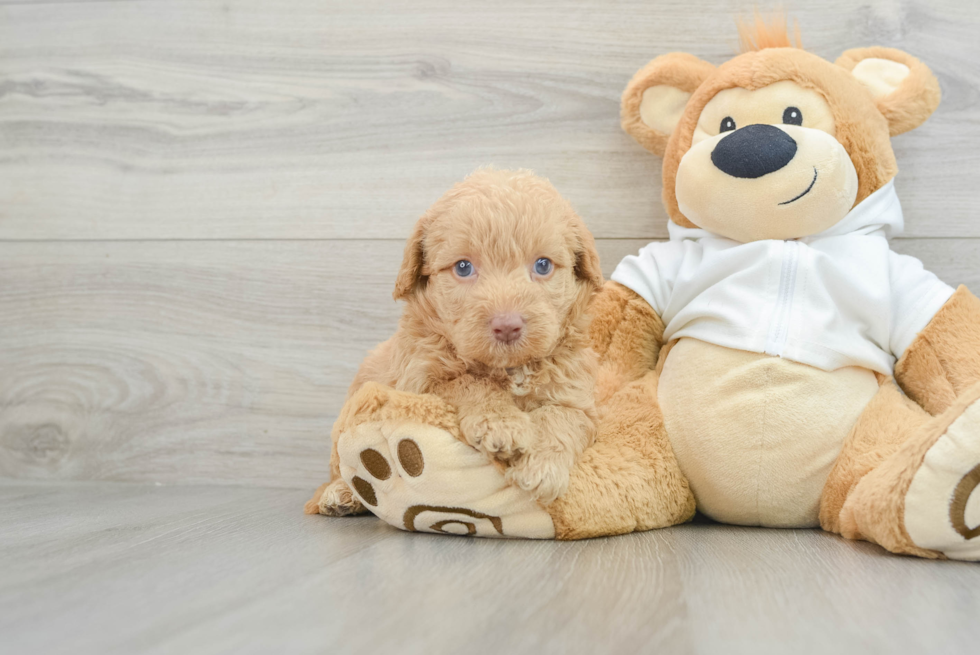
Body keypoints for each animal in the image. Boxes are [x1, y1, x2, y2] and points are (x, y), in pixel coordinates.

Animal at [316, 168, 604, 512]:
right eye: (463, 267)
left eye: (543, 265)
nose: (507, 325)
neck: (508, 370)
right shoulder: (420, 381)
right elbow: (469, 382)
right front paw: (501, 424)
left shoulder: (578, 396)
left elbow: (562, 416)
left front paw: (541, 467)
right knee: (339, 467)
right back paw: (342, 494)